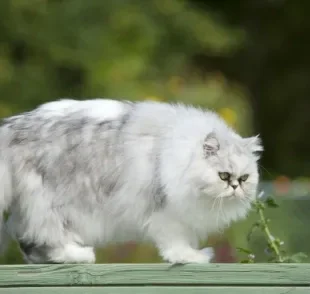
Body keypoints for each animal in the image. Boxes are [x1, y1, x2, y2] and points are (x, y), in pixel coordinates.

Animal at [0, 99, 262, 264]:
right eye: (224, 176)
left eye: (245, 178)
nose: (235, 187)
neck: (178, 154)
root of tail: (13, 126)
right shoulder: (166, 211)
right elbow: (175, 242)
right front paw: (191, 258)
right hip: (50, 203)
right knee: (45, 235)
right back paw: (79, 255)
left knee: (29, 242)